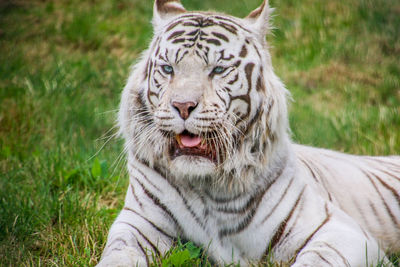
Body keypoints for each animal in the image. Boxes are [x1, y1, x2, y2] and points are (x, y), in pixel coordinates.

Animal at [96, 1, 400, 266]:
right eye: (168, 68)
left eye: (218, 69)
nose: (183, 106)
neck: (207, 187)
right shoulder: (139, 223)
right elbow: (118, 253)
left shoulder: (338, 231)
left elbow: (317, 260)